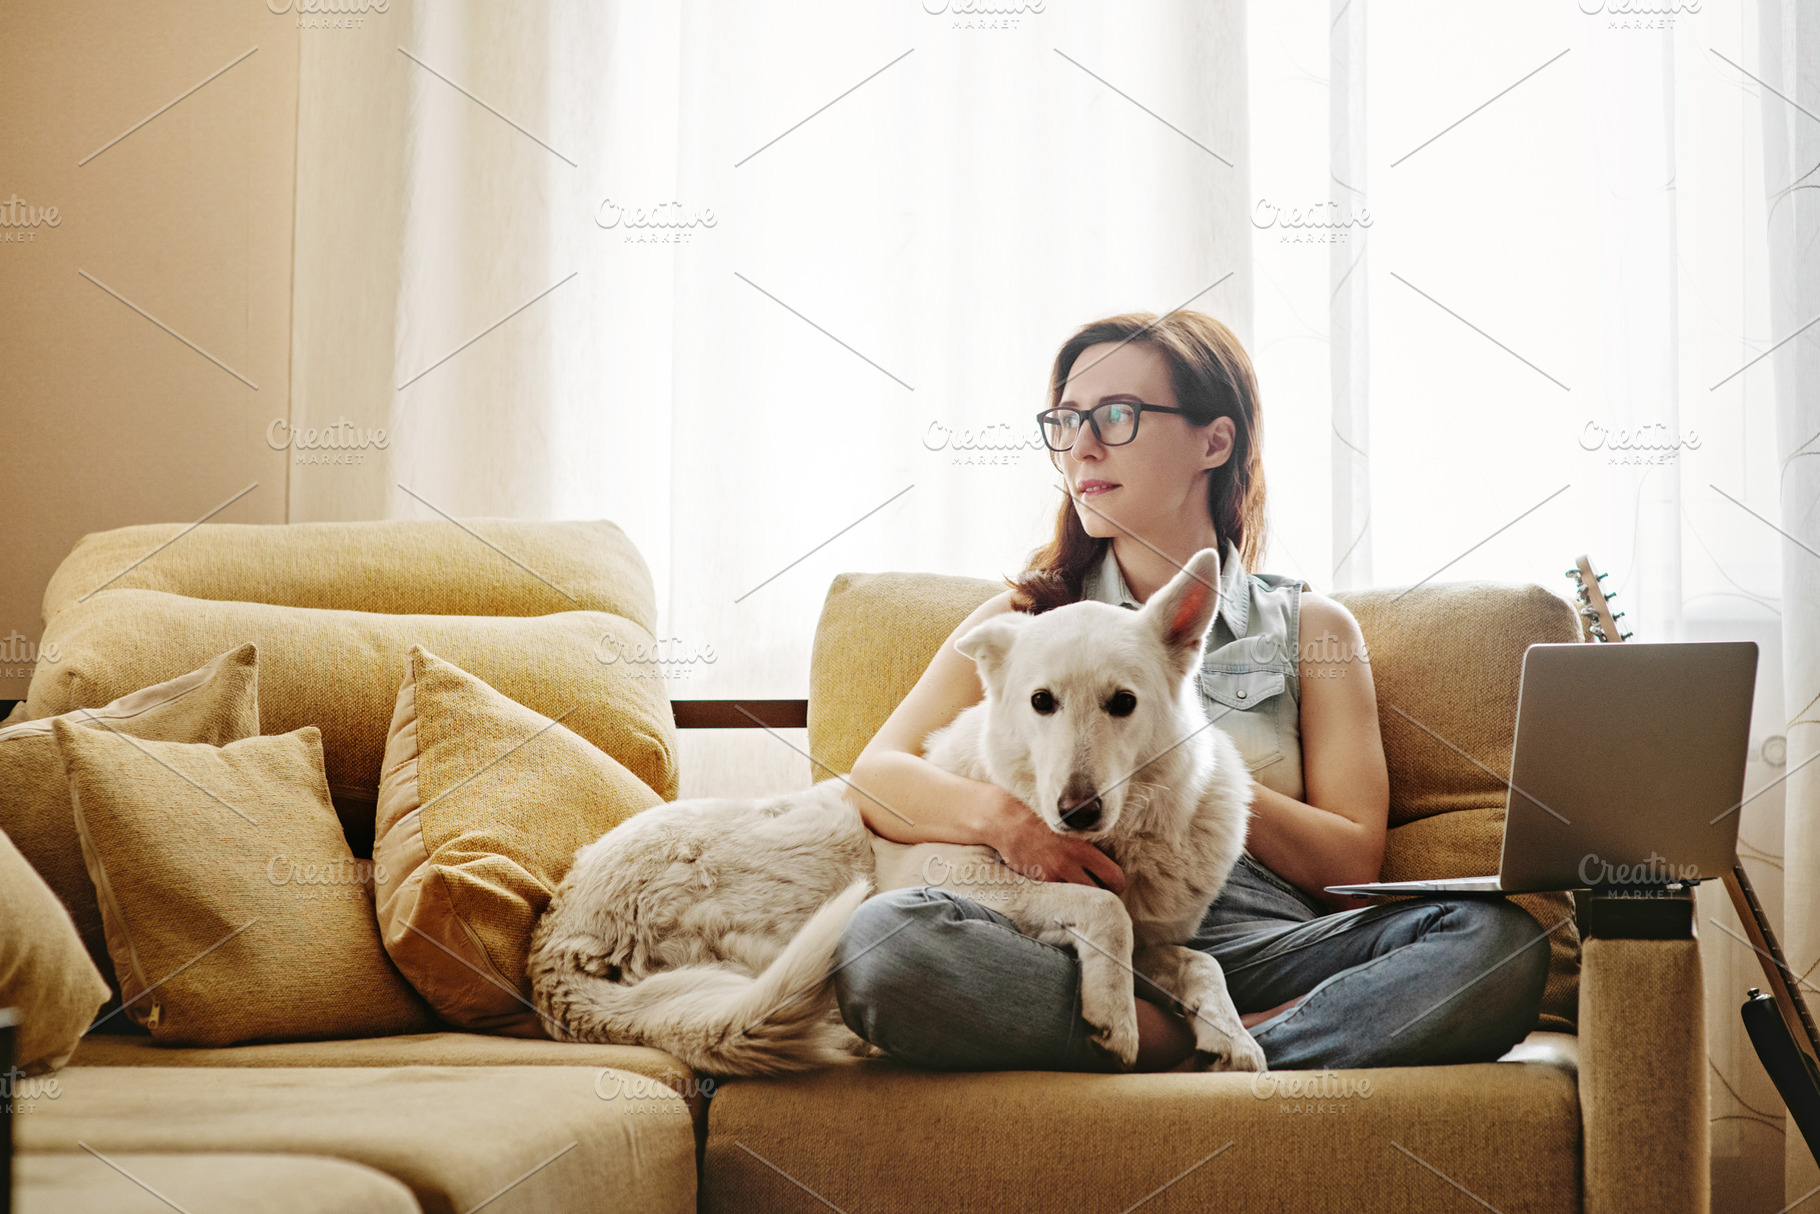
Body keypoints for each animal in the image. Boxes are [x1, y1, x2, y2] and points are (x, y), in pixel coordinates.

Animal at [527, 546, 1266, 1077]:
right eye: (1042, 702)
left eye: (1123, 703)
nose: (1077, 812)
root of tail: (557, 952)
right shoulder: (960, 872)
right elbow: (1104, 908)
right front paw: (1116, 1016)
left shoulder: (1156, 935)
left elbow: (1199, 962)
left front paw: (1231, 1037)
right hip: (828, 844)